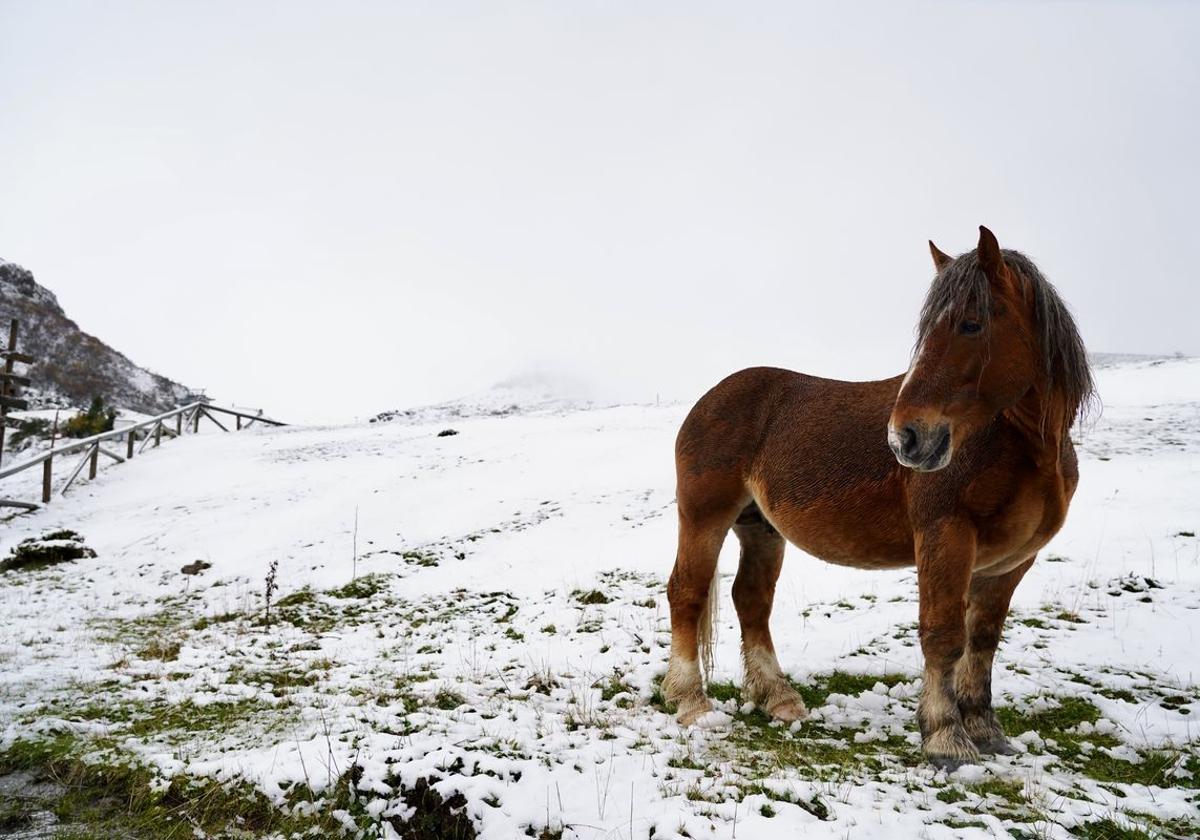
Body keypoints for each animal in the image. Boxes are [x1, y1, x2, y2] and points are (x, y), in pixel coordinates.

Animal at [667, 228, 1099, 768]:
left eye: (971, 324)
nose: (906, 438)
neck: (1018, 448)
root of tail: (709, 399)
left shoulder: (1011, 562)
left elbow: (982, 641)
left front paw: (985, 732)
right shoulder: (946, 538)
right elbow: (943, 635)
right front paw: (945, 739)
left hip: (760, 528)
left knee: (752, 600)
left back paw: (779, 699)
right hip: (704, 517)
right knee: (687, 592)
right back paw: (691, 703)